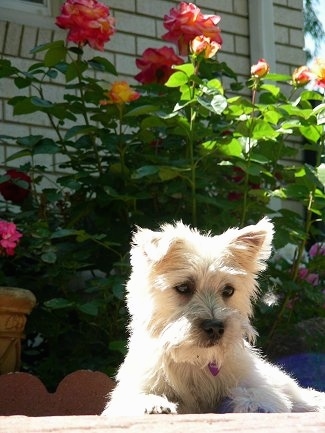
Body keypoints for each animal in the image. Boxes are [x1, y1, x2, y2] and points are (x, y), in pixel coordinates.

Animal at [102, 219, 324, 416]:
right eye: (183, 287)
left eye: (228, 290)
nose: (215, 327)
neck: (195, 360)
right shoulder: (131, 389)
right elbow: (137, 396)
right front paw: (154, 404)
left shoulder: (257, 384)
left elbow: (253, 394)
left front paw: (250, 405)